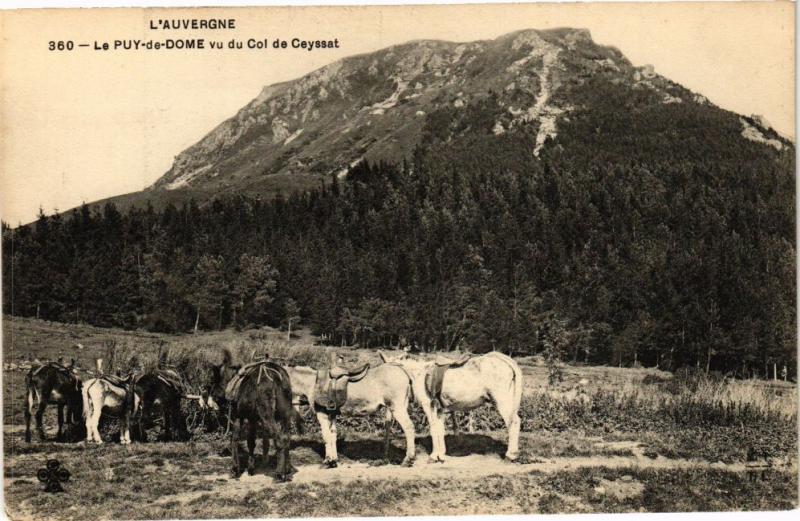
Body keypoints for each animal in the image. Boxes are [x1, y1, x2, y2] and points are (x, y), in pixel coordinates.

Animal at [286, 362, 416, 468]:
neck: (313, 383)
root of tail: (403, 371)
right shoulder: (332, 414)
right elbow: (333, 435)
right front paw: (334, 460)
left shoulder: (322, 414)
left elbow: (326, 436)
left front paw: (328, 460)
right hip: (402, 406)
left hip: (397, 408)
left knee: (409, 427)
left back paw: (408, 459)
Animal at [382, 352, 524, 462]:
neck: (419, 375)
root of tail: (503, 358)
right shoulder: (439, 409)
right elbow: (440, 430)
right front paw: (441, 455)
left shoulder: (428, 405)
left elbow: (433, 429)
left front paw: (433, 456)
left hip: (502, 401)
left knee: (514, 422)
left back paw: (510, 455)